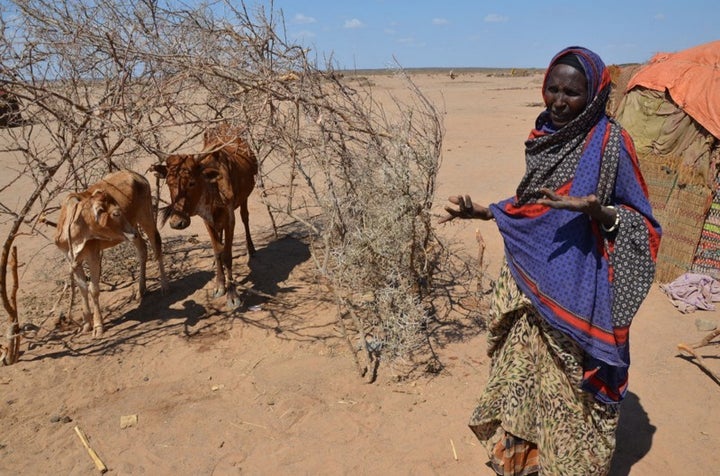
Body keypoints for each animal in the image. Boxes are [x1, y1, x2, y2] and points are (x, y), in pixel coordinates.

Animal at [54, 169, 169, 336]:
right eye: (115, 213)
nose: (132, 233)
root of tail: (136, 175)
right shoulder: (73, 260)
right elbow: (83, 289)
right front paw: (86, 325)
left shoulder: (93, 255)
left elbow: (93, 289)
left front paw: (98, 326)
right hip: (132, 229)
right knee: (142, 249)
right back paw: (141, 290)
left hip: (144, 217)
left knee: (156, 245)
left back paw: (164, 286)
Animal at [150, 123, 258, 308]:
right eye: (169, 183)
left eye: (192, 182)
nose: (177, 222)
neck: (212, 188)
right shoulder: (207, 220)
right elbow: (217, 250)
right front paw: (219, 285)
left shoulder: (230, 219)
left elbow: (227, 255)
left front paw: (232, 295)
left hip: (245, 198)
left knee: (245, 217)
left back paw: (251, 249)